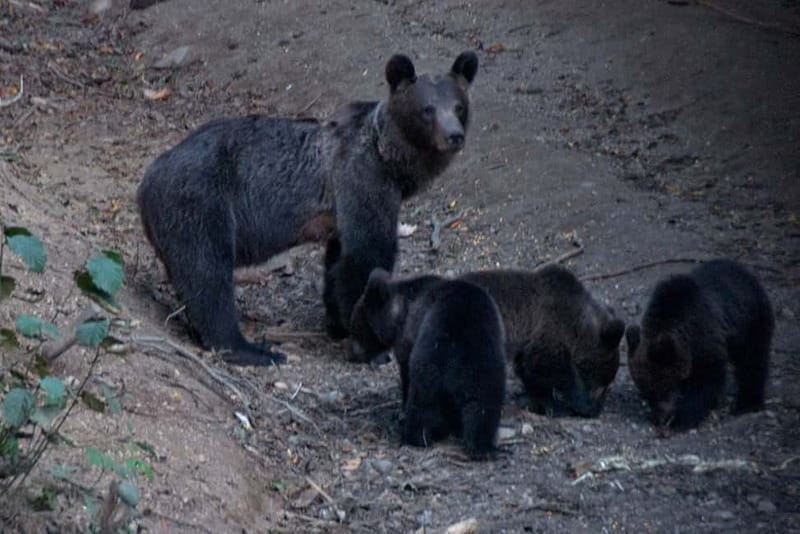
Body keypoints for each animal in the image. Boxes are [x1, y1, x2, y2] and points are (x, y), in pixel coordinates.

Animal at [136, 51, 478, 365]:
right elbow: (366, 257)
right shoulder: (362, 181)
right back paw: (253, 349)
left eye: (459, 106)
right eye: (427, 110)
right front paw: (370, 345)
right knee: (208, 276)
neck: (391, 160)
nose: (454, 135)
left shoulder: (342, 214)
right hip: (201, 205)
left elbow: (337, 262)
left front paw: (337, 323)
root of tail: (146, 182)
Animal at [350, 264, 626, 418]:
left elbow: (530, 371)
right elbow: (548, 368)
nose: (596, 410)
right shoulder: (548, 333)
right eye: (605, 381)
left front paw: (537, 400)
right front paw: (568, 402)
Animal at [351, 268, 506, 459]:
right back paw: (482, 446)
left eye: (356, 329)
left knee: (422, 402)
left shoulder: (407, 338)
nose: (354, 353)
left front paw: (401, 412)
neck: (399, 314)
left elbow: (406, 373)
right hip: (485, 365)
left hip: (431, 358)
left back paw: (414, 436)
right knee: (484, 406)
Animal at [625, 258, 774, 432]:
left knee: (753, 361)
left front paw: (680, 419)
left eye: (662, 386)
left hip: (752, 321)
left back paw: (748, 403)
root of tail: (747, 273)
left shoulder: (705, 342)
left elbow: (705, 383)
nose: (658, 417)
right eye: (647, 393)